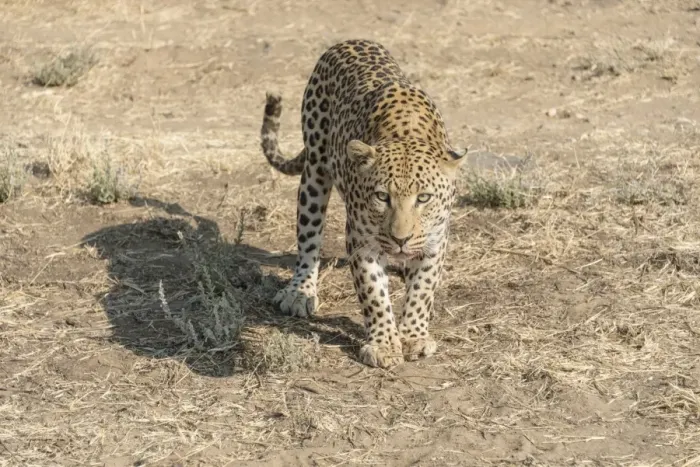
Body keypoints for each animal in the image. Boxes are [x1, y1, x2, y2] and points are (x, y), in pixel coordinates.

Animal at [260, 39, 467, 368]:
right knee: (308, 240)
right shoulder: (361, 239)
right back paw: (300, 292)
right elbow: (373, 293)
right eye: (382, 197)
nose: (400, 239)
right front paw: (384, 344)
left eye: (424, 198)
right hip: (314, 173)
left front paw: (414, 336)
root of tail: (349, 41)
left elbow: (422, 288)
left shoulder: (436, 239)